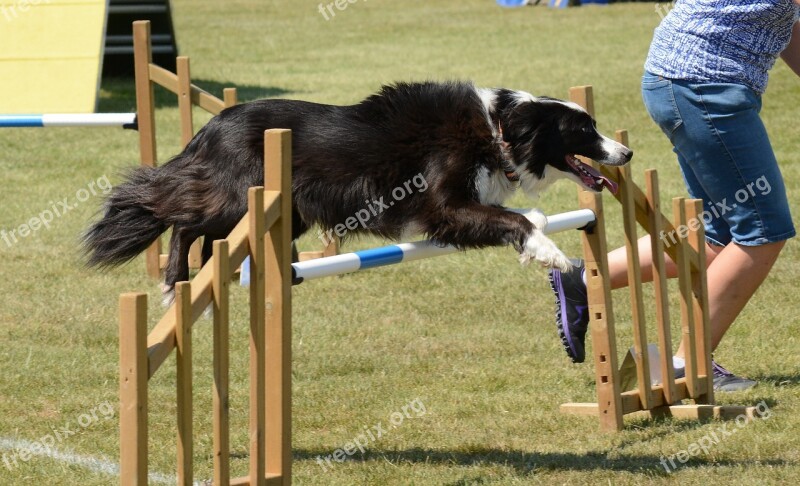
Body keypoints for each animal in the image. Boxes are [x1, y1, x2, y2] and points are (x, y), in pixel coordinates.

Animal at [86, 81, 632, 294]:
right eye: (584, 129)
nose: (626, 154)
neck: (498, 128)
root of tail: (211, 126)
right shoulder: (442, 206)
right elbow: (513, 219)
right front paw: (552, 254)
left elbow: (521, 218)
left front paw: (540, 240)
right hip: (241, 199)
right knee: (181, 220)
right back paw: (173, 282)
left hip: (279, 211)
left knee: (201, 231)